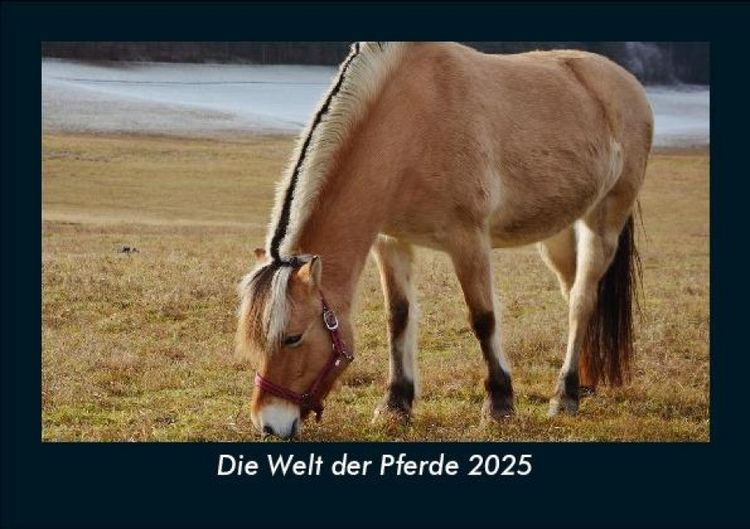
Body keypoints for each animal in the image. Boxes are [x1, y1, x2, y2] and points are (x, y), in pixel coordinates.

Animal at [236, 42, 653, 439]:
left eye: (293, 338)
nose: (269, 424)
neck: (412, 121)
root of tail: (627, 85)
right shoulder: (391, 242)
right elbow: (398, 317)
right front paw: (396, 405)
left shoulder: (468, 241)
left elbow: (483, 318)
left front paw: (499, 405)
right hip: (558, 233)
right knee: (573, 295)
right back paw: (584, 384)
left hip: (603, 221)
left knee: (582, 301)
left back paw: (565, 396)